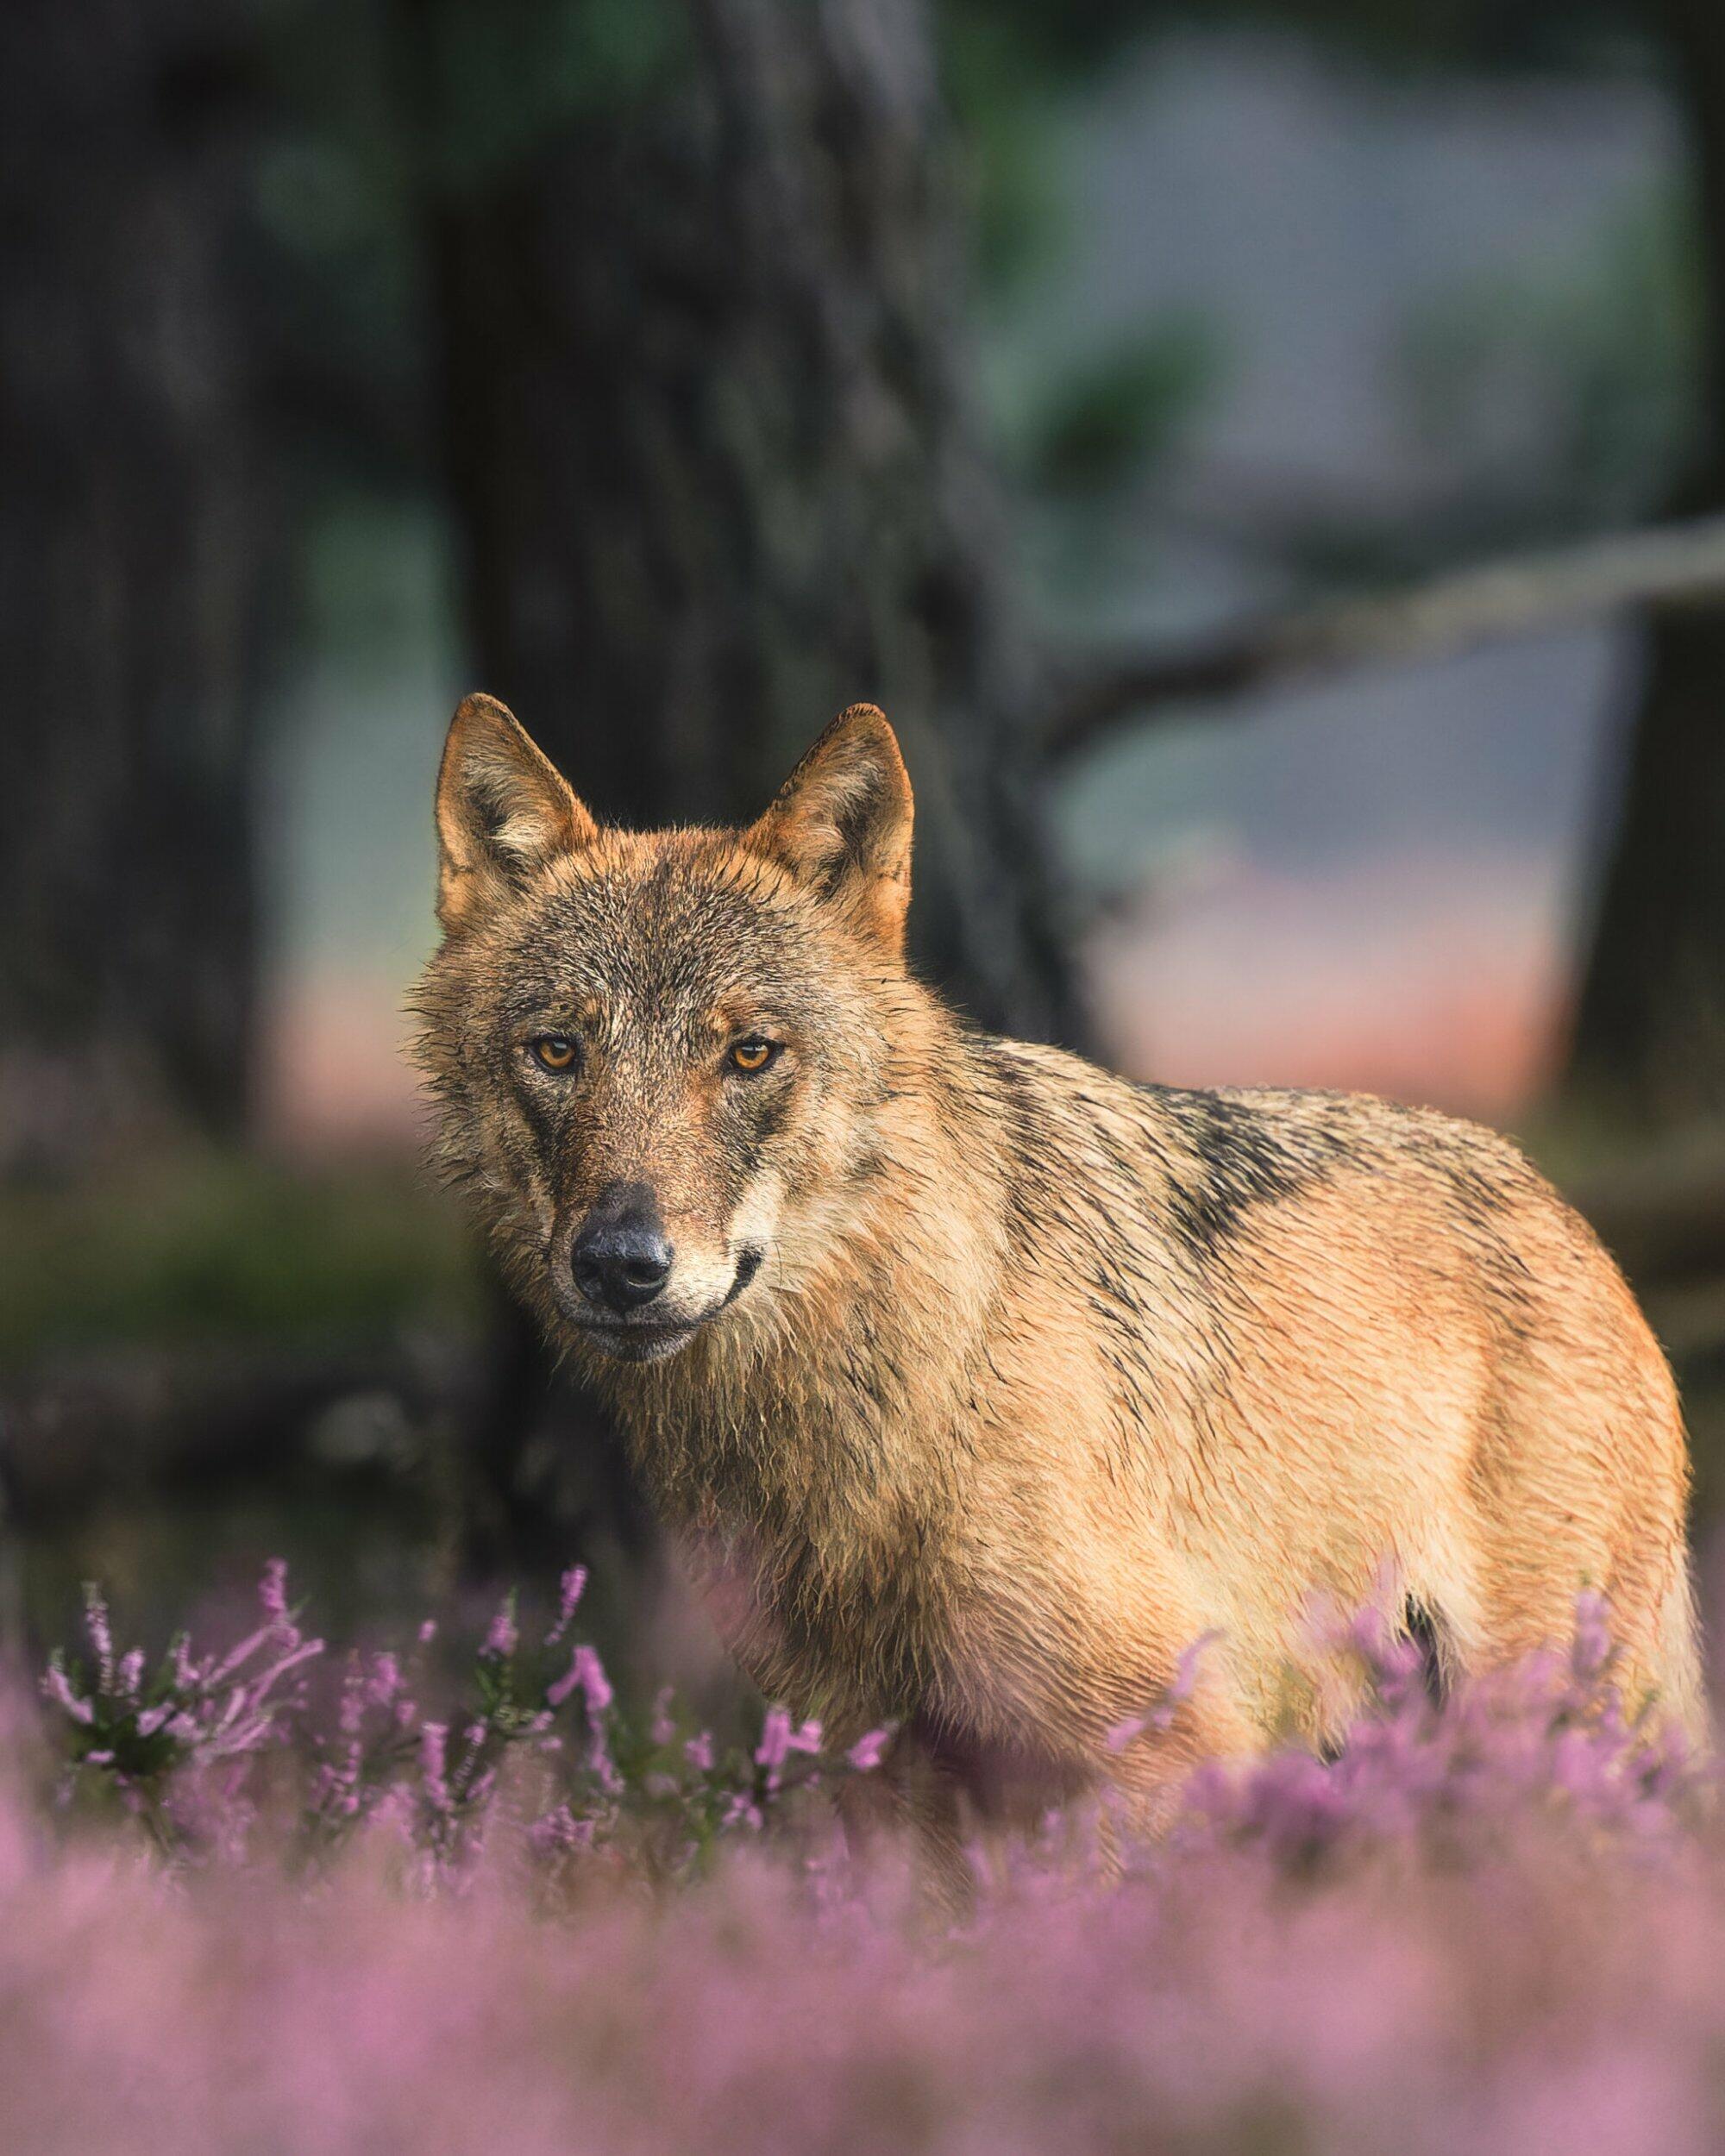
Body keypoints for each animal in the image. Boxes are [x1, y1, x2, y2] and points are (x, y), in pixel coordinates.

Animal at [415, 692, 1703, 1844]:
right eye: (557, 1053)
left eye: (748, 1054)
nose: (621, 1264)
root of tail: (1563, 1209)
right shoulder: (874, 1773)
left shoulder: (1165, 1753)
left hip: (1537, 1729)